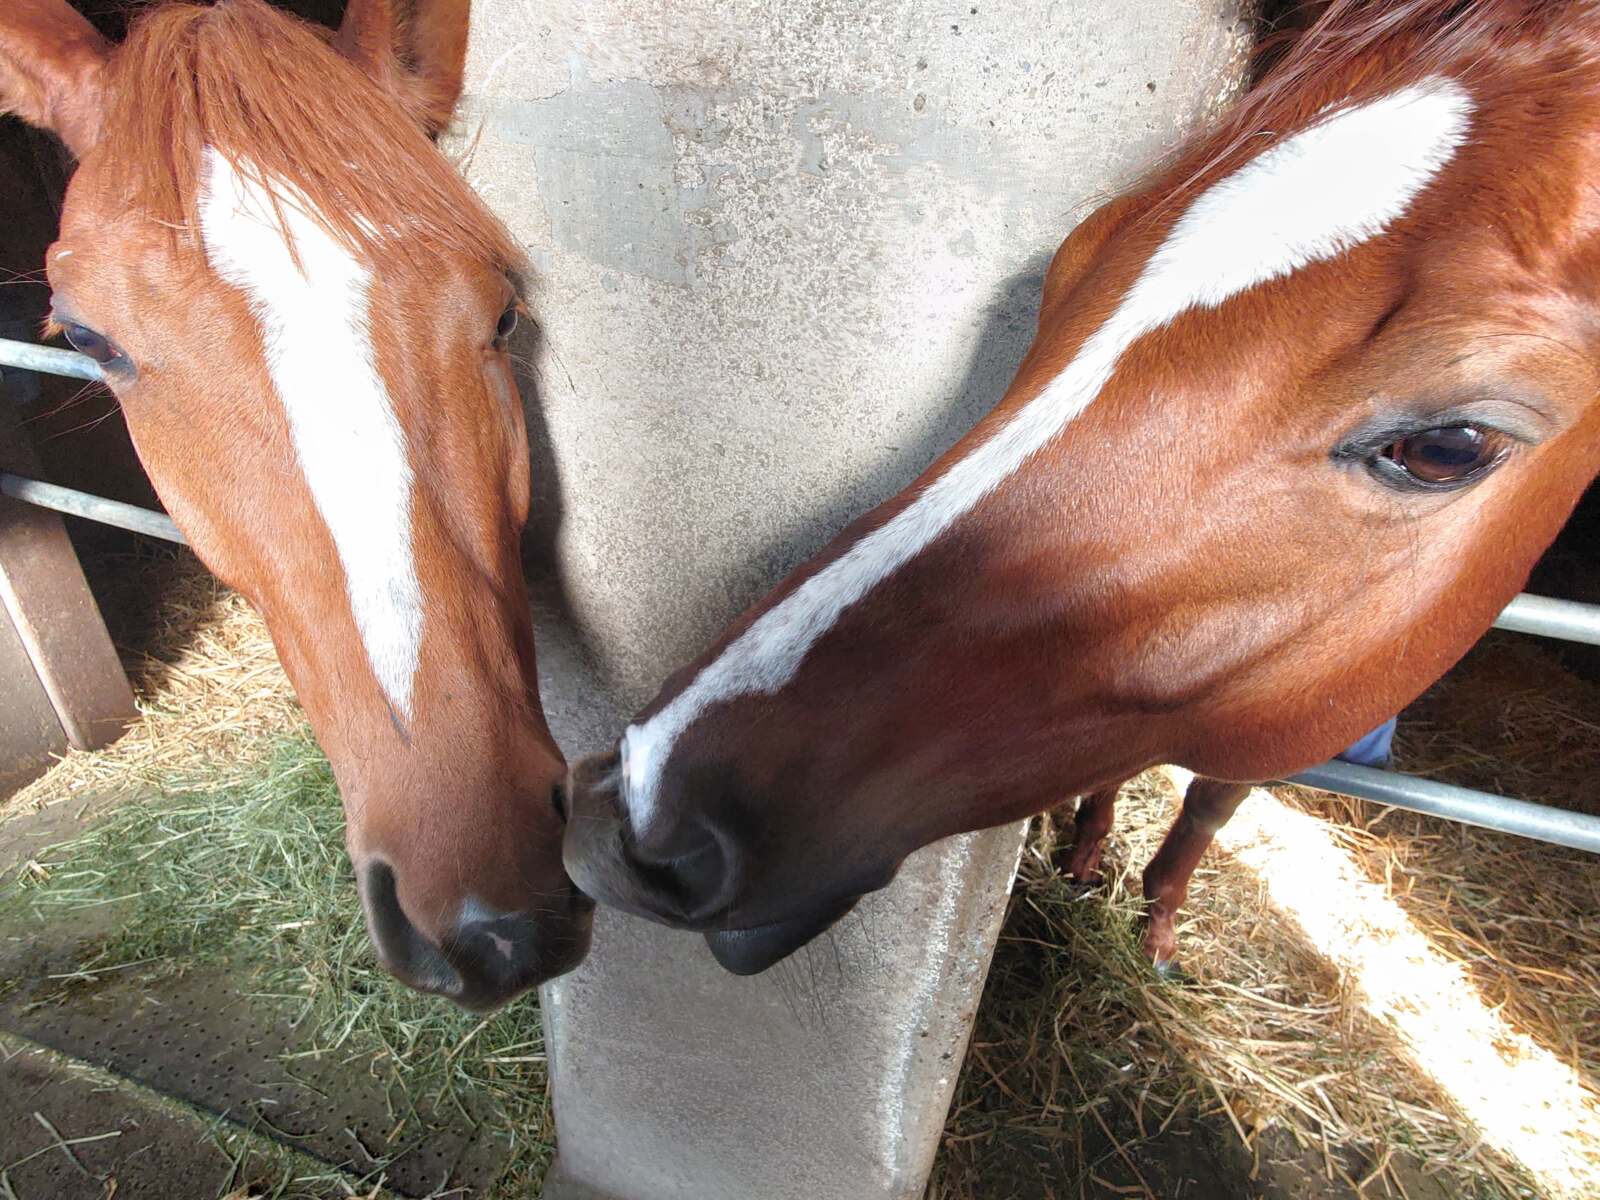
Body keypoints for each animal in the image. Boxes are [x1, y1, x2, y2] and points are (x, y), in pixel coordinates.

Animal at [563, 0, 1600, 979]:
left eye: (1448, 449)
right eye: (1069, 263)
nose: (637, 816)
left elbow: (1211, 797)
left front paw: (1161, 922)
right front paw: (1089, 851)